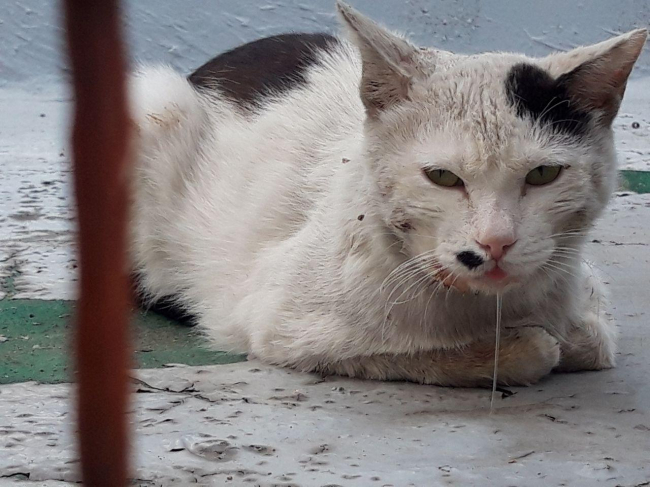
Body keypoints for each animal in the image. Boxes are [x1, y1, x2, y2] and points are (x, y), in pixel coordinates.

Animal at [126, 0, 644, 388]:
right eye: (442, 177)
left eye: (543, 175)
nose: (495, 242)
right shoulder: (277, 323)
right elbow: (494, 352)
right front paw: (518, 347)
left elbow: (593, 339)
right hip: (158, 101)